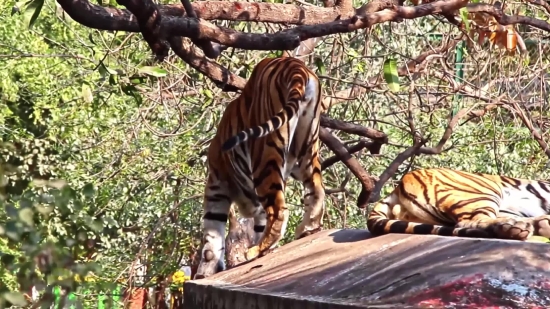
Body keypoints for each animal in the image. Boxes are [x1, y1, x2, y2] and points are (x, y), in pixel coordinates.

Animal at [195, 56, 328, 280]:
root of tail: (296, 66)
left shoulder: (216, 185)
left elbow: (212, 234)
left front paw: (204, 271)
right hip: (307, 147)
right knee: (316, 189)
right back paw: (308, 228)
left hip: (265, 155)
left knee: (279, 209)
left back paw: (256, 250)